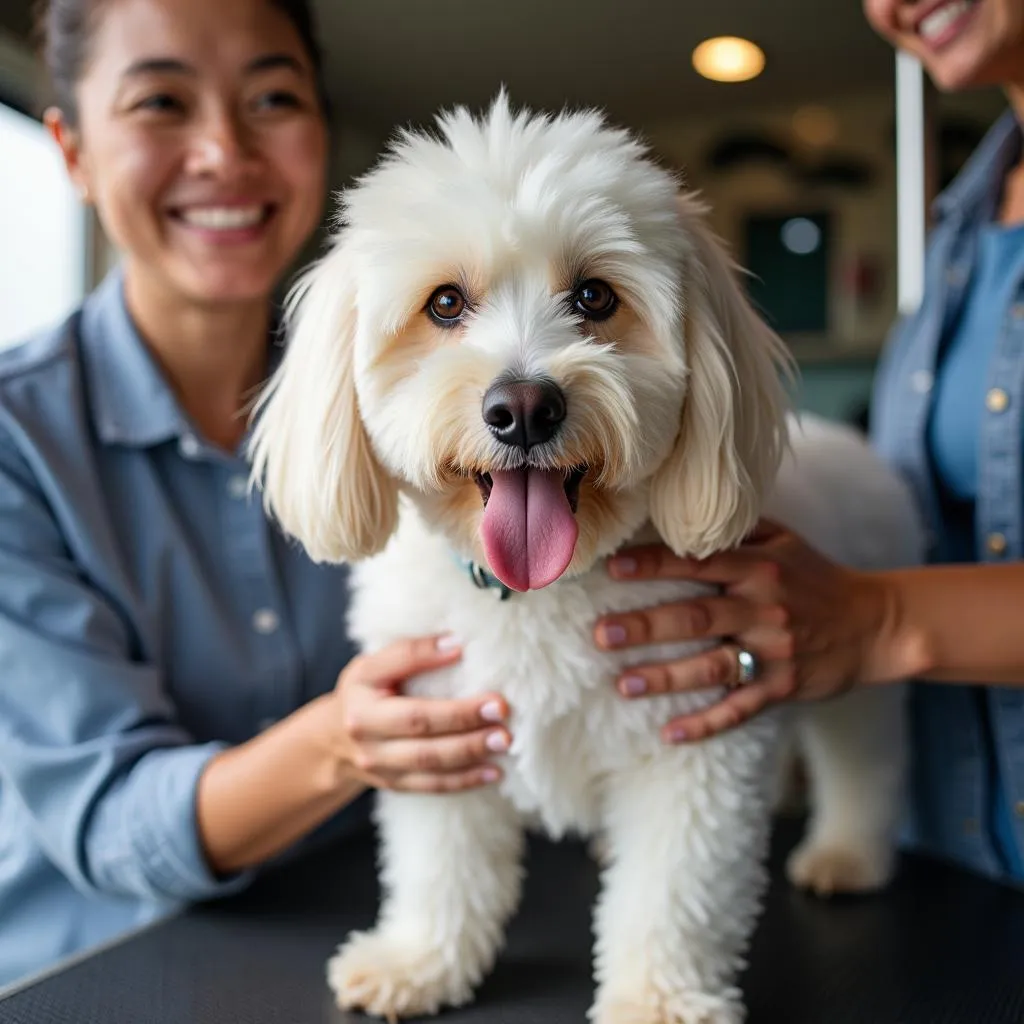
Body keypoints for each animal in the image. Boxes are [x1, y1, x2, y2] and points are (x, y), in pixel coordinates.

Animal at [251, 96, 925, 1024]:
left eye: (595, 296)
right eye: (445, 303)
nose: (524, 407)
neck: (542, 592)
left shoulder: (697, 743)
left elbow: (676, 893)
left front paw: (658, 1001)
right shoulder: (438, 727)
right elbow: (441, 868)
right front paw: (419, 959)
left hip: (855, 681)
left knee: (865, 761)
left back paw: (848, 853)